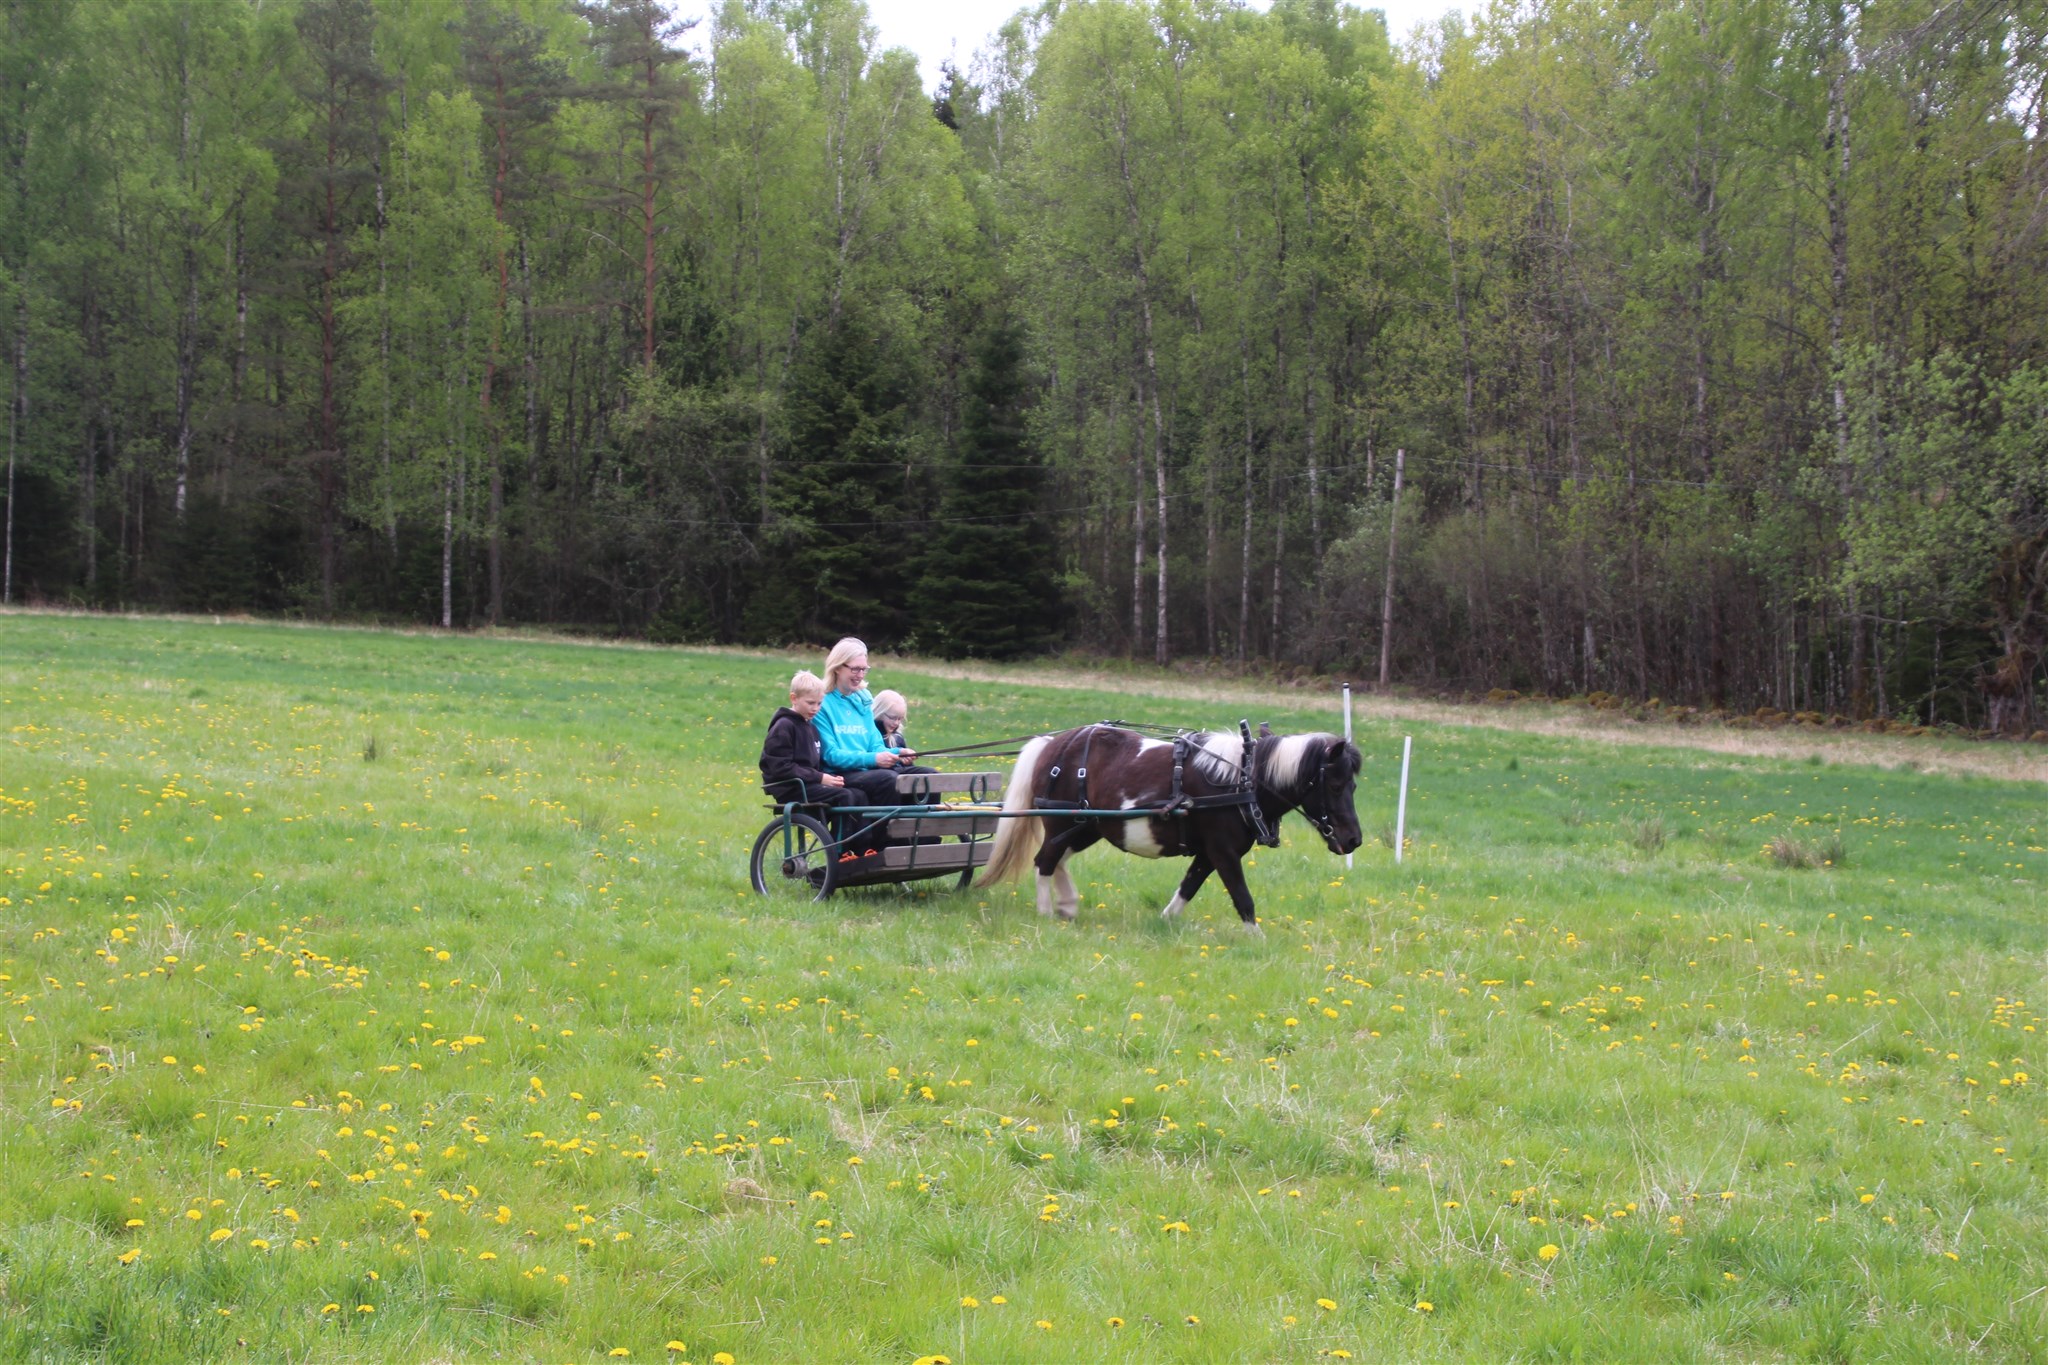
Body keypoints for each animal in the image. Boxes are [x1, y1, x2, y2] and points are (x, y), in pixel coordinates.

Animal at [974, 720, 1359, 933]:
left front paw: (1165, 922)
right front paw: (1258, 941)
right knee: (1045, 861)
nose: (1353, 840)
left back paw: (1067, 904)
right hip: (1060, 821)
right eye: (1335, 785)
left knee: (1059, 859)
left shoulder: (1208, 854)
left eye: (1354, 785)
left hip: (1087, 825)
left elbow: (1188, 888)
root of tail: (1051, 743)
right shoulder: (1224, 852)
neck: (1241, 779)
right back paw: (1044, 912)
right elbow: (1243, 898)